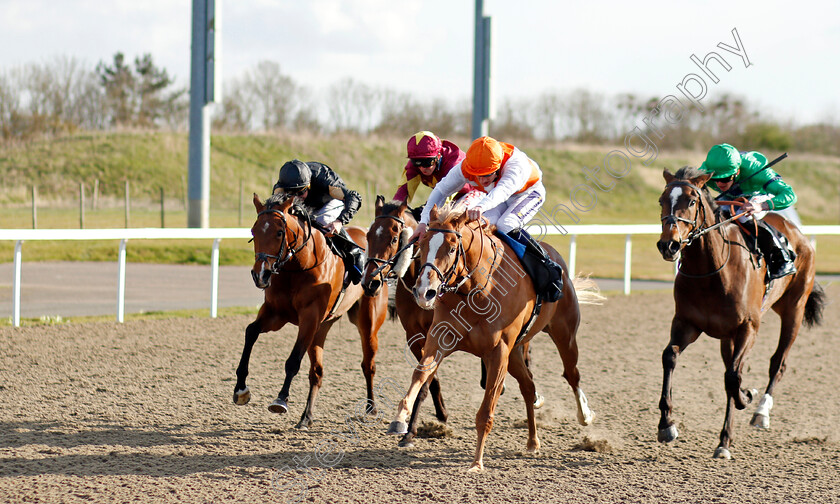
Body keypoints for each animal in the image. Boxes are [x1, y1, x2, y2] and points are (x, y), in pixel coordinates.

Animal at [235, 193, 388, 430]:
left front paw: (281, 399)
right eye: (253, 230)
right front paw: (241, 389)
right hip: (322, 328)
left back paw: (371, 408)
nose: (260, 274)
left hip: (367, 321)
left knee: (368, 364)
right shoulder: (275, 313)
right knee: (317, 372)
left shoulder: (310, 317)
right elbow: (250, 332)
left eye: (279, 232)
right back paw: (306, 417)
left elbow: (293, 360)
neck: (296, 267)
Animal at [388, 203, 604, 470]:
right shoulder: (438, 339)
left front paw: (477, 462)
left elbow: (486, 410)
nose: (424, 292)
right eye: (423, 245)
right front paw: (400, 418)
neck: (476, 289)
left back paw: (585, 415)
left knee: (571, 374)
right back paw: (532, 441)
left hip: (565, 335)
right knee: (528, 386)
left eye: (452, 247)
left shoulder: (498, 352)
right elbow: (421, 374)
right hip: (515, 354)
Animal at [652, 167, 824, 458]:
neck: (711, 270)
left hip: (794, 310)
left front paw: (747, 396)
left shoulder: (748, 327)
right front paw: (667, 425)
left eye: (692, 201)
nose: (669, 245)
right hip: (727, 336)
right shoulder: (687, 323)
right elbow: (670, 357)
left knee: (777, 363)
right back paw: (725, 439)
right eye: (662, 200)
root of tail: (796, 231)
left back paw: (760, 413)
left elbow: (734, 377)